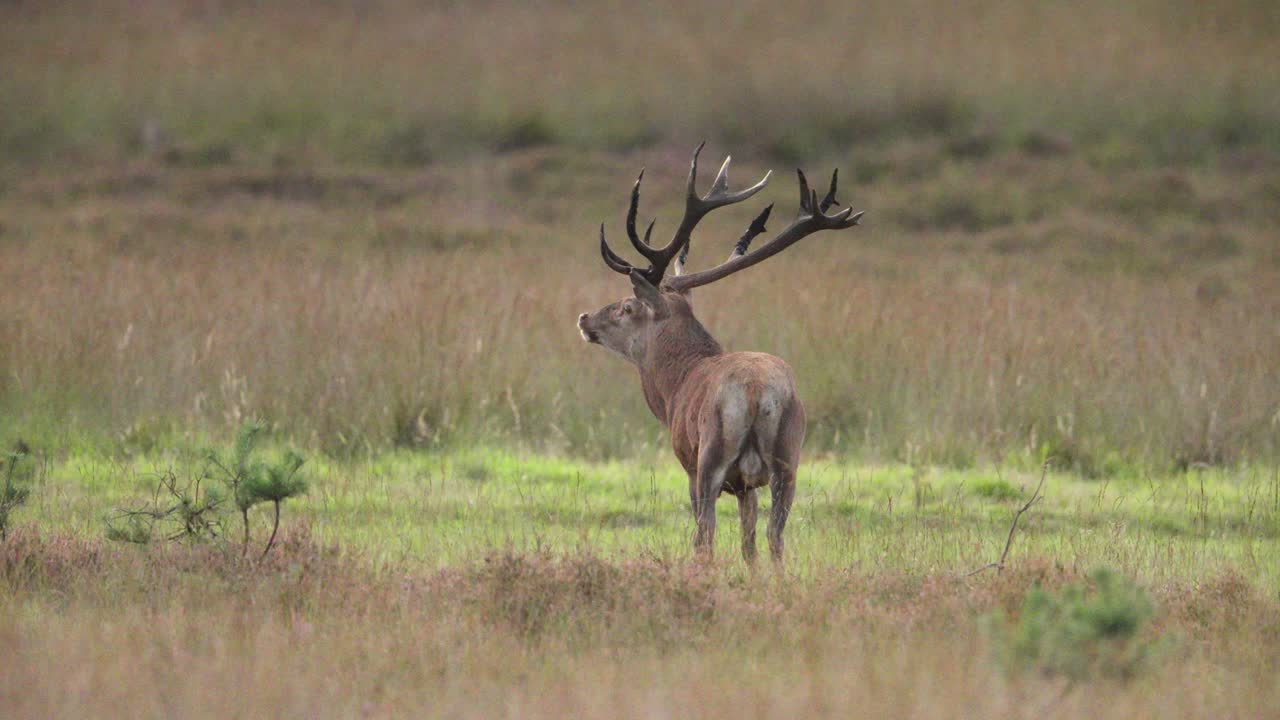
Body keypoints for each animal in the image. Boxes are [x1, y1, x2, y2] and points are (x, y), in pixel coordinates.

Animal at [576, 143, 863, 564]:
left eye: (627, 307)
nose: (585, 318)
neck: (674, 387)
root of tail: (759, 391)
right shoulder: (748, 486)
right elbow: (748, 543)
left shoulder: (688, 462)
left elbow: (708, 535)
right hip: (789, 456)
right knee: (775, 536)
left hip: (711, 454)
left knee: (705, 536)